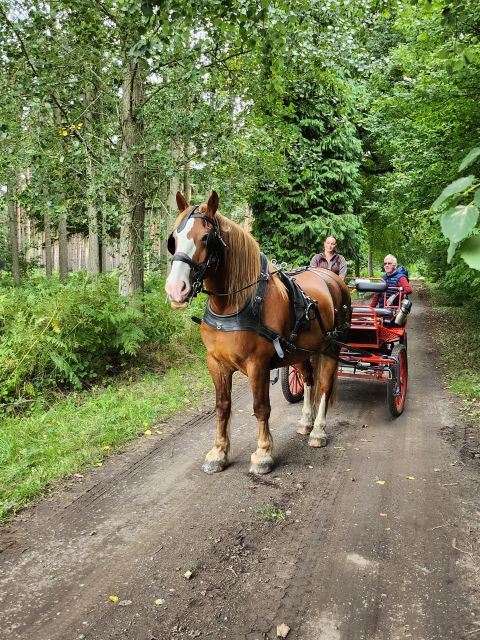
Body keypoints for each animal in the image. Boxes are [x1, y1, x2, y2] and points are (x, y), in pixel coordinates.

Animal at [167, 191, 350, 476]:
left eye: (206, 237)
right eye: (174, 238)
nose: (176, 289)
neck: (235, 303)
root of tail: (331, 277)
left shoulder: (258, 364)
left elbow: (261, 408)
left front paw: (263, 454)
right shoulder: (216, 363)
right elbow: (222, 407)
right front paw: (218, 453)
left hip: (331, 346)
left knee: (324, 386)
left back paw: (318, 431)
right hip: (302, 351)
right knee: (308, 380)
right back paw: (305, 421)